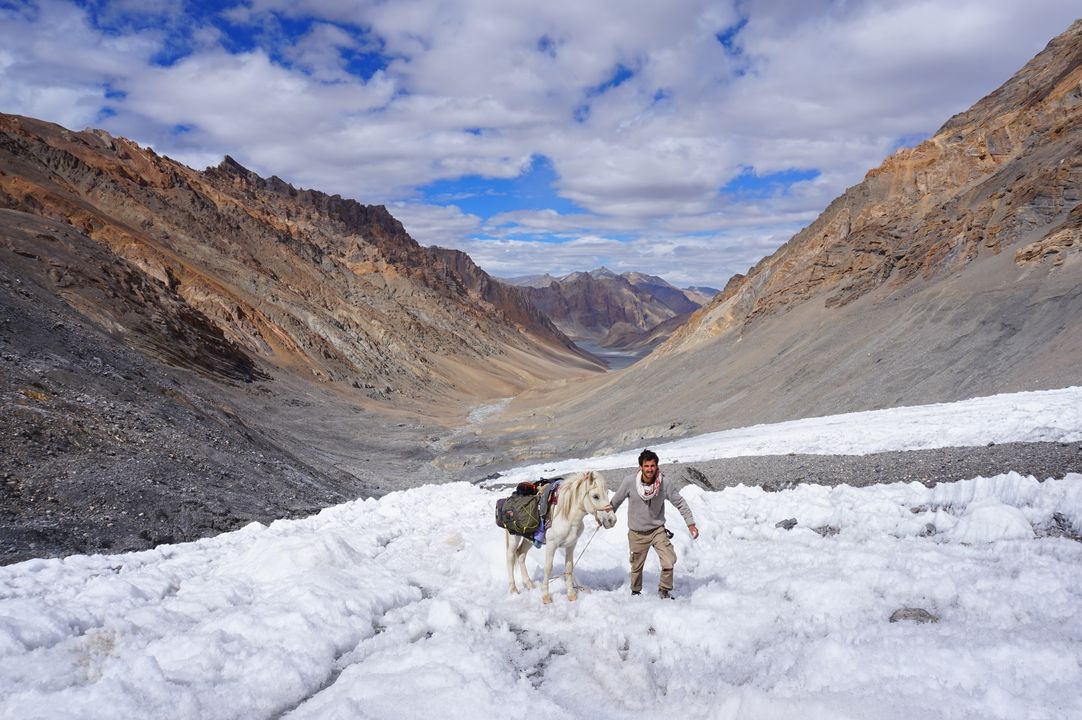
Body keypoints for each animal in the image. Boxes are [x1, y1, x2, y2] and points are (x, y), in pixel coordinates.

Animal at [506, 469, 618, 601]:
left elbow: (569, 567)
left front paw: (571, 595)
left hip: (529, 538)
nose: (612, 520)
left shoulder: (571, 545)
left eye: (606, 493)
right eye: (595, 496)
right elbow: (548, 568)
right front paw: (546, 597)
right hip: (514, 537)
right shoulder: (551, 545)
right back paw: (513, 589)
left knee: (521, 554)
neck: (566, 516)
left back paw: (529, 585)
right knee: (510, 557)